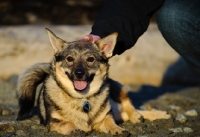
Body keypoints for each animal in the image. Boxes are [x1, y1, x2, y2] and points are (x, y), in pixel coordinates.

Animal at [16, 28, 171, 135]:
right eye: (69, 59)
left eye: (90, 59)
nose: (79, 73)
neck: (83, 98)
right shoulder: (53, 123)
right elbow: (68, 124)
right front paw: (77, 129)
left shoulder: (104, 118)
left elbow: (110, 122)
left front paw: (118, 130)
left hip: (115, 89)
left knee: (128, 103)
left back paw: (142, 116)